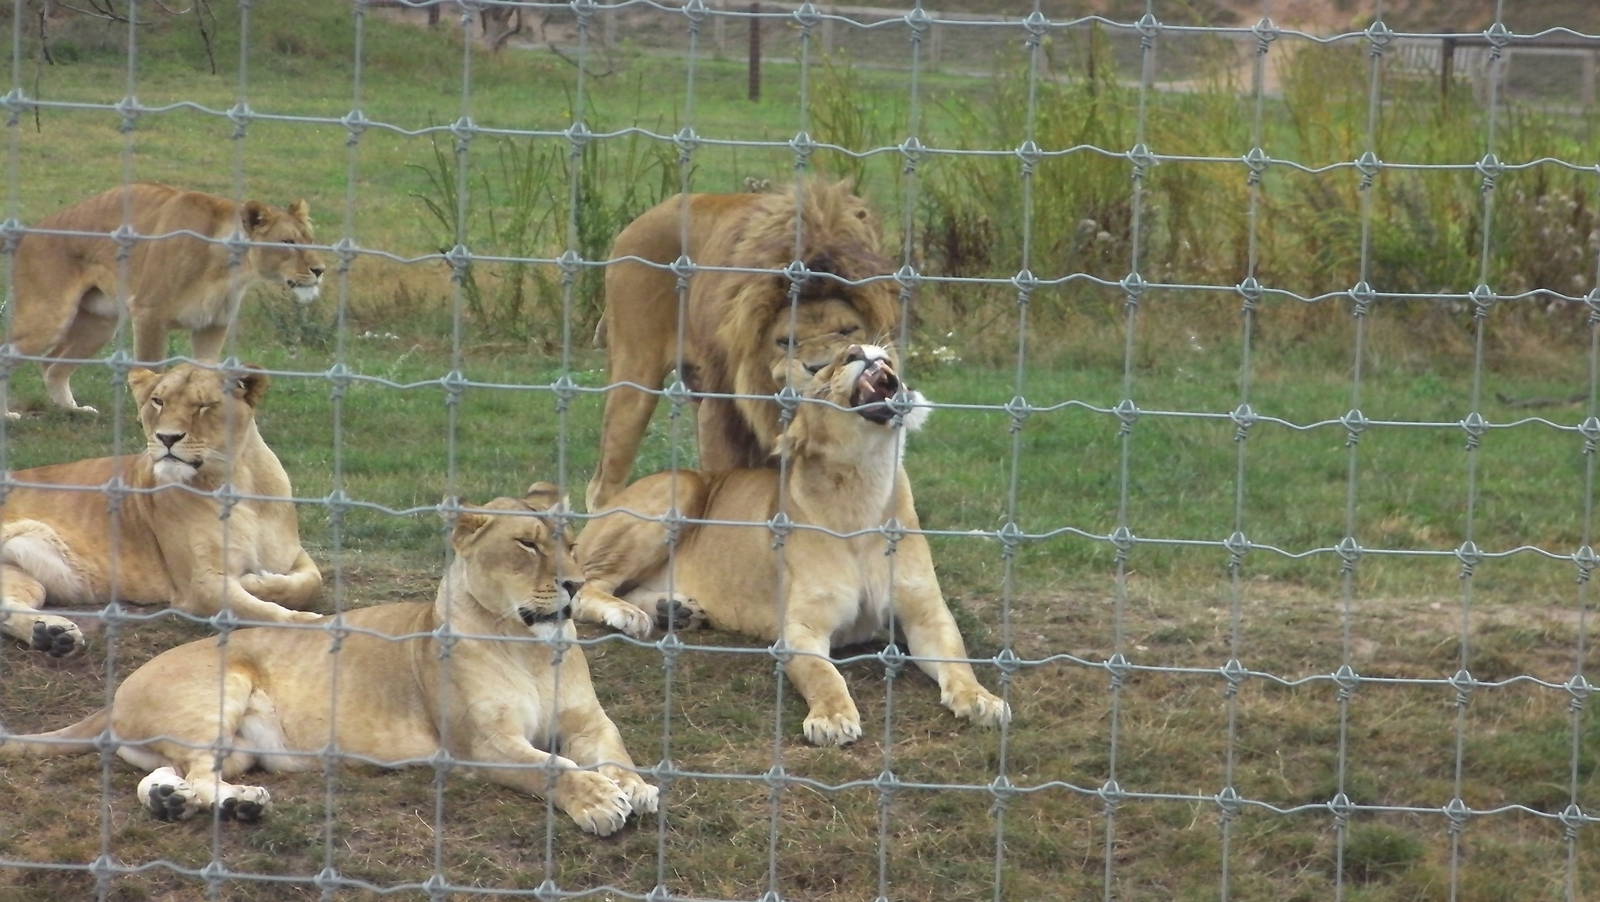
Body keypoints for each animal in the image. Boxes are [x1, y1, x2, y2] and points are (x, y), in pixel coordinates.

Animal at [0, 363, 323, 657]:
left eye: (204, 405)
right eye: (158, 401)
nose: (167, 437)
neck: (237, 482)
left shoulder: (294, 553)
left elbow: (311, 582)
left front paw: (259, 580)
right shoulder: (199, 586)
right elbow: (261, 610)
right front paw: (307, 621)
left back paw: (52, 635)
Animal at [0, 485, 659, 836]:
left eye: (571, 544)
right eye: (526, 544)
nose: (575, 584)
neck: (530, 648)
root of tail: (116, 692)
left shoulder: (590, 722)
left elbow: (615, 752)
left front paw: (637, 787)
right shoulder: (480, 745)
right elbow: (551, 767)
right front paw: (599, 801)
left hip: (229, 746)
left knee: (169, 776)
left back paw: (191, 802)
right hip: (220, 690)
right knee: (195, 771)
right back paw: (240, 803)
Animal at [8, 182, 325, 416]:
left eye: (310, 241)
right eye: (287, 243)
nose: (320, 270)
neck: (229, 269)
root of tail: (30, 232)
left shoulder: (213, 325)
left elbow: (207, 373)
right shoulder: (149, 314)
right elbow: (152, 370)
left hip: (99, 325)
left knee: (51, 365)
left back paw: (73, 410)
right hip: (49, 317)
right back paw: (9, 415)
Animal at [574, 344, 1009, 746]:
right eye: (827, 371)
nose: (859, 349)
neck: (863, 488)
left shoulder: (927, 616)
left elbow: (958, 659)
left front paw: (982, 700)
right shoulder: (801, 628)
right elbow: (823, 674)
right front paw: (832, 719)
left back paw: (677, 611)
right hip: (680, 489)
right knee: (587, 588)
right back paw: (629, 615)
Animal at [585, 180, 901, 513]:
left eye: (848, 330)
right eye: (785, 341)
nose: (819, 368)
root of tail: (636, 224)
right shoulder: (719, 416)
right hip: (635, 377)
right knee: (603, 487)